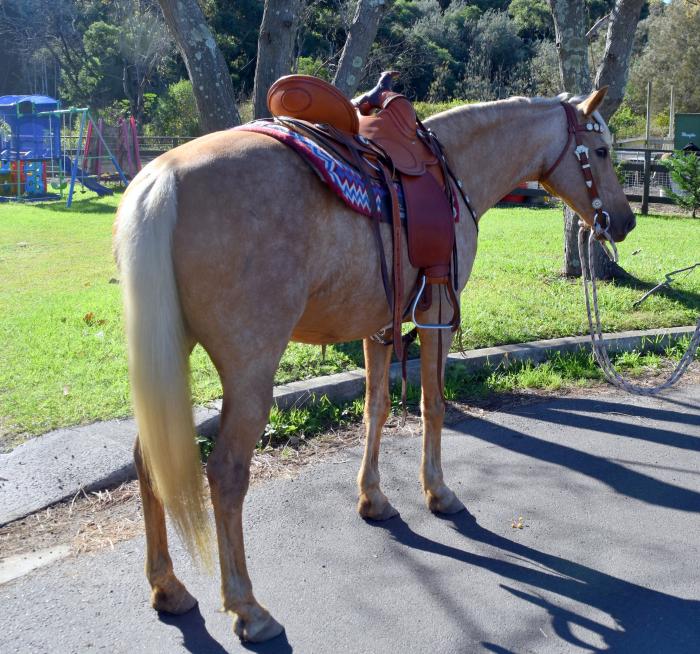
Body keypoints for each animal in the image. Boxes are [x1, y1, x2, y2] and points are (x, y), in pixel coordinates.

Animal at [113, 86, 635, 642]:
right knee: (227, 474)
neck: (454, 169)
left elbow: (377, 409)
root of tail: (163, 177)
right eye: (601, 152)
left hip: (169, 356)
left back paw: (167, 586)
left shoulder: (379, 323)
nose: (625, 222)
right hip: (250, 369)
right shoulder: (436, 312)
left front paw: (373, 500)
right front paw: (438, 492)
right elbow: (433, 405)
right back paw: (247, 608)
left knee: (148, 460)